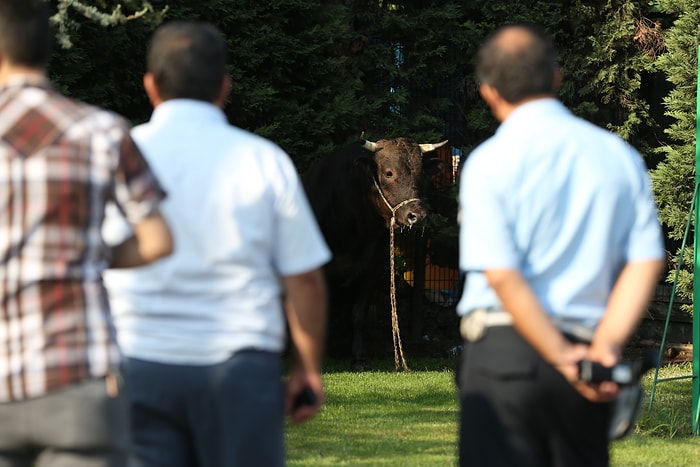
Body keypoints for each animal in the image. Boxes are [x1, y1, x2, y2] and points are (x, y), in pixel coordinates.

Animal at [302, 137, 446, 372]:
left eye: (420, 173)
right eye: (388, 173)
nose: (417, 215)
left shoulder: (372, 268)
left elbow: (358, 315)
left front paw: (359, 359)